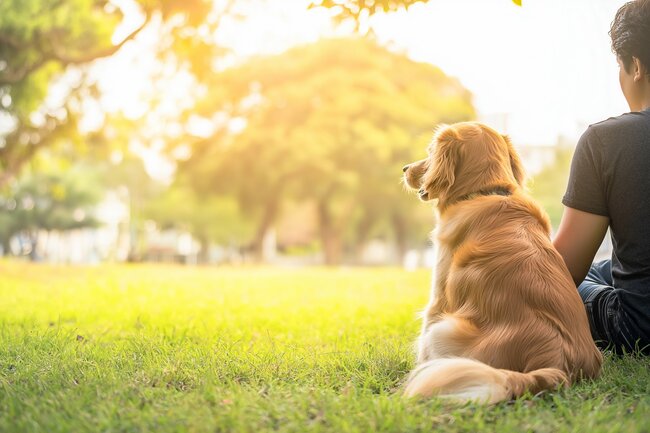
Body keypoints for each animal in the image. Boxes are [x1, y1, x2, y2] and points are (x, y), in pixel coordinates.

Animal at [402, 120, 600, 402]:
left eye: (430, 151)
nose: (405, 168)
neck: (485, 192)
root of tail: (557, 363)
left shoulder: (439, 297)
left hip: (444, 329)